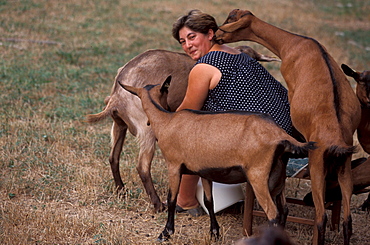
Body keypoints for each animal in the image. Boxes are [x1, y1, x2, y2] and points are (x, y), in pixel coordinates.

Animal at [85, 47, 278, 212]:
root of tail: (117, 97)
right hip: (147, 130)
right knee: (142, 166)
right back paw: (158, 204)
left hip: (119, 125)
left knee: (113, 157)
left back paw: (121, 190)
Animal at [119, 76, 316, 241]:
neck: (166, 121)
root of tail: (280, 134)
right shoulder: (204, 171)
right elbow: (209, 201)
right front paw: (214, 233)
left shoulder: (174, 165)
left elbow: (172, 198)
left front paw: (166, 233)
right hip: (278, 177)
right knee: (284, 210)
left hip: (258, 175)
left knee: (273, 213)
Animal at [215, 8, 360, 244]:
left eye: (230, 20)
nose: (217, 35)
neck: (294, 43)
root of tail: (337, 142)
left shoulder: (291, 91)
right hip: (344, 168)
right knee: (347, 221)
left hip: (317, 167)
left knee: (321, 217)